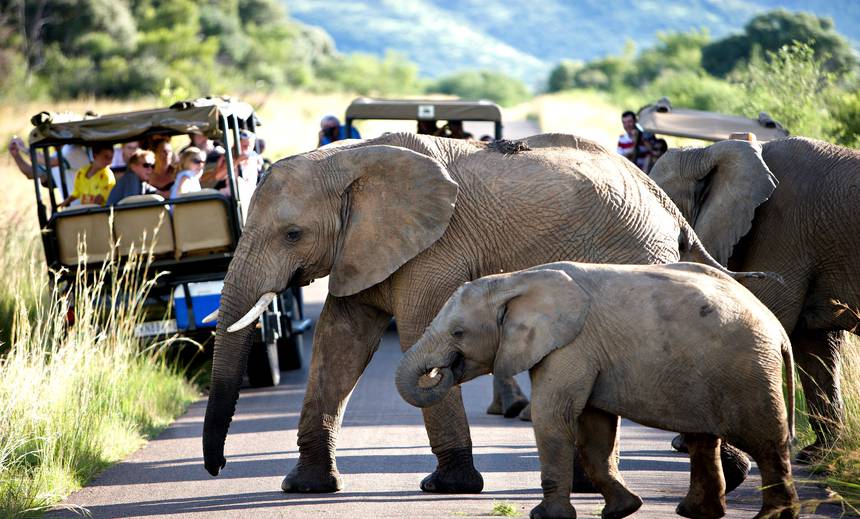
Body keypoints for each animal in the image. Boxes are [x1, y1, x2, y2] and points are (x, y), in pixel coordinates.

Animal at [203, 132, 752, 494]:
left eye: (292, 234)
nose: (217, 468)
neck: (351, 160)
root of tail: (666, 202)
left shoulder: (434, 249)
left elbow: (415, 333)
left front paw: (448, 487)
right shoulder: (356, 249)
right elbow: (339, 344)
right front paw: (304, 487)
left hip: (634, 255)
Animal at [396, 264, 800, 519]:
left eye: (458, 333)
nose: (442, 369)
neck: (515, 280)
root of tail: (778, 329)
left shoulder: (572, 345)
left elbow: (553, 416)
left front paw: (545, 517)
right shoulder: (586, 352)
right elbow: (594, 429)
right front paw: (624, 510)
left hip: (748, 369)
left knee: (766, 441)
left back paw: (771, 517)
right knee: (703, 439)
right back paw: (695, 513)